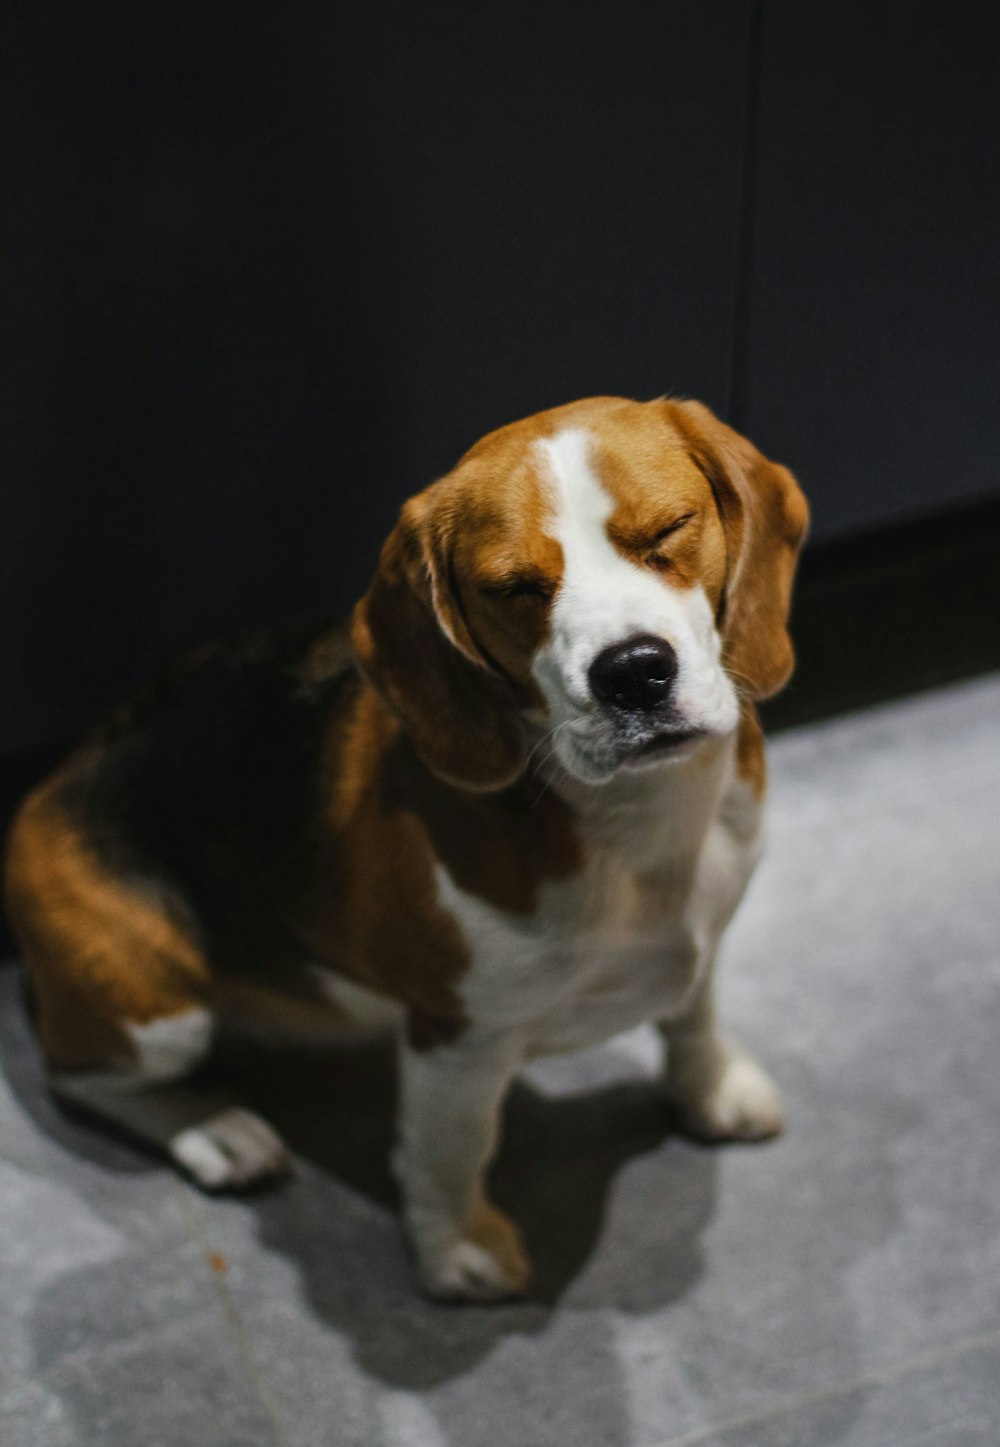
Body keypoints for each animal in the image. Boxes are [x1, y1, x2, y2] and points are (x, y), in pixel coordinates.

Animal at [3, 393, 810, 1302]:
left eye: (669, 529)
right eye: (515, 588)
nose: (633, 672)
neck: (642, 819)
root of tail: (53, 777)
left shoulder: (705, 936)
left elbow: (694, 1017)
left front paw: (712, 1091)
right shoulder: (455, 1036)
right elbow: (451, 1148)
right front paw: (457, 1249)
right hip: (157, 1009)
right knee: (75, 1074)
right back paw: (214, 1127)